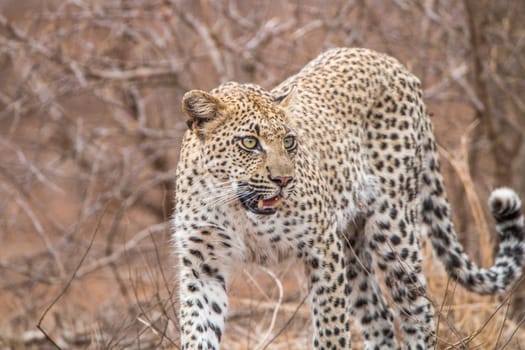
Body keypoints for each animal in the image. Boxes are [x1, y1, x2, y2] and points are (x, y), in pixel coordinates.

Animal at [173, 47, 524, 350]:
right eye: (249, 142)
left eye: (289, 141)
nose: (284, 180)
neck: (234, 207)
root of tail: (389, 61)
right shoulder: (202, 266)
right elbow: (199, 331)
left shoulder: (322, 248)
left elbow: (331, 330)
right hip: (352, 244)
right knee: (380, 319)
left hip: (393, 230)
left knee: (417, 311)